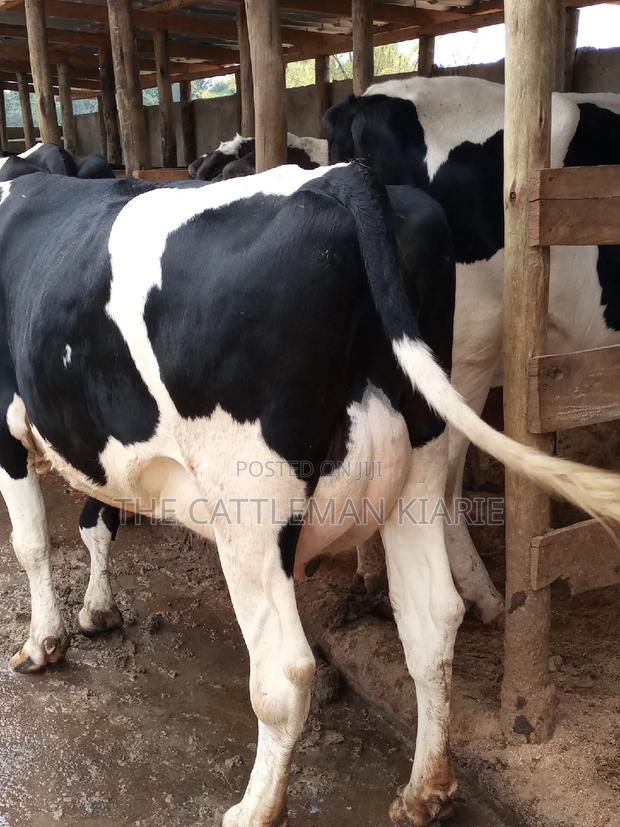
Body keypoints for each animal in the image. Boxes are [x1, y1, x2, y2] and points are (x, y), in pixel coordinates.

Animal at [2, 164, 620, 827]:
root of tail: (343, 176)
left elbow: (32, 543)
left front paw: (43, 644)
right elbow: (97, 515)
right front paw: (97, 611)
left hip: (250, 502)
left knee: (285, 671)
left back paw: (254, 808)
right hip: (418, 468)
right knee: (432, 619)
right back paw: (423, 790)